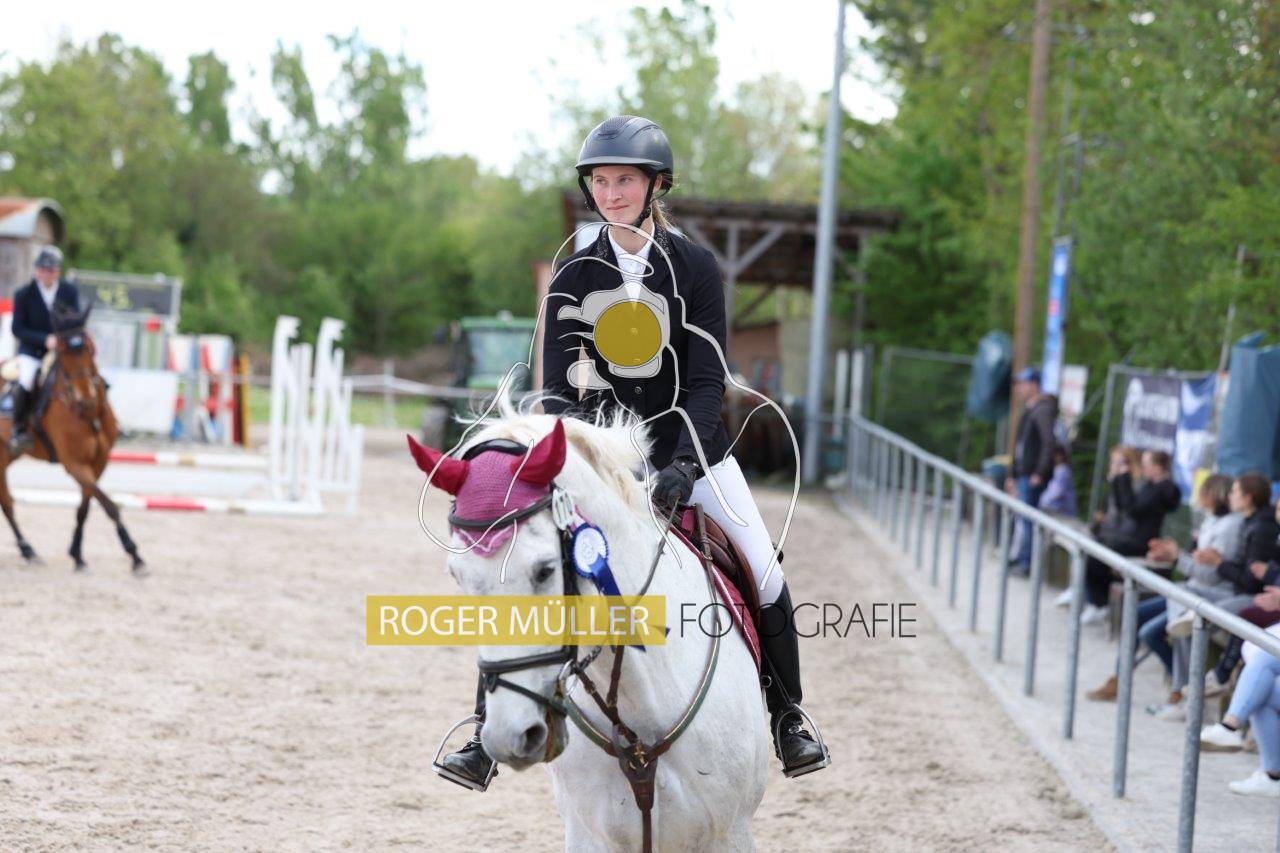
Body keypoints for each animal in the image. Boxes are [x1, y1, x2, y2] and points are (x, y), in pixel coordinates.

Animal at [0, 304, 146, 575]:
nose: (85, 399)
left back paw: (29, 552)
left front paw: (77, 555)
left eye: (88, 346)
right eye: (61, 351)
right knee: (7, 502)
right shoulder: (74, 464)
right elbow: (109, 505)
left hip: (10, 453)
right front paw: (134, 554)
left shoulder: (98, 463)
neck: (89, 415)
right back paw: (28, 550)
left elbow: (85, 508)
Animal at [410, 406, 768, 851]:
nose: (512, 735)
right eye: (458, 576)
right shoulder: (590, 834)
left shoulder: (728, 833)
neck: (638, 705)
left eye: (545, 570)